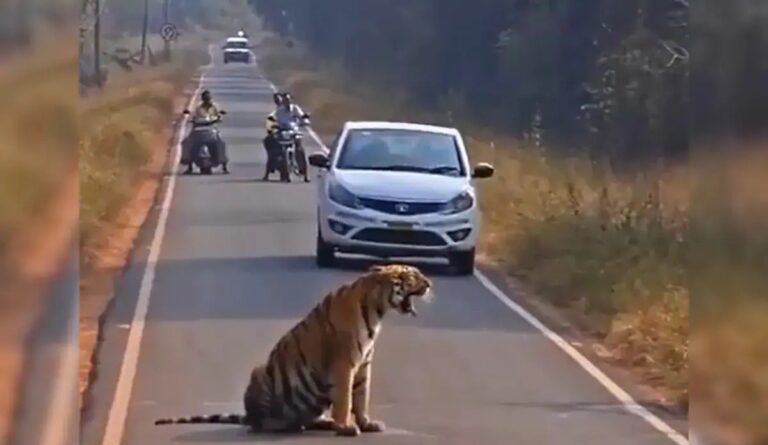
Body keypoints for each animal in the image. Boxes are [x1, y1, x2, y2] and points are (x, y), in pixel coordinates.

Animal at [154, 263, 433, 436]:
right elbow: (345, 398)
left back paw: (322, 422)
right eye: (412, 276)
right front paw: (346, 427)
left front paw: (366, 423)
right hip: (261, 375)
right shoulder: (344, 364)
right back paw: (281, 424)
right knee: (259, 424)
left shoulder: (364, 364)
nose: (430, 283)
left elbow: (361, 396)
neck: (377, 310)